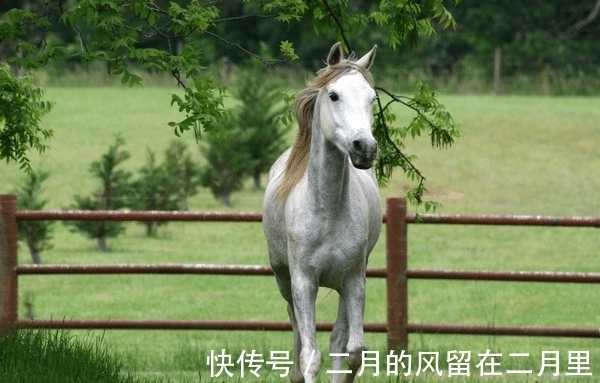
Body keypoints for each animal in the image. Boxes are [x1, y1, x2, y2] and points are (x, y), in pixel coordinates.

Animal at [264, 42, 384, 383]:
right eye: (334, 95)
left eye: (372, 98)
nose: (364, 148)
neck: (327, 212)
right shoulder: (304, 282)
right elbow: (310, 356)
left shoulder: (354, 281)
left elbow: (351, 351)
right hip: (283, 279)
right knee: (295, 327)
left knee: (338, 340)